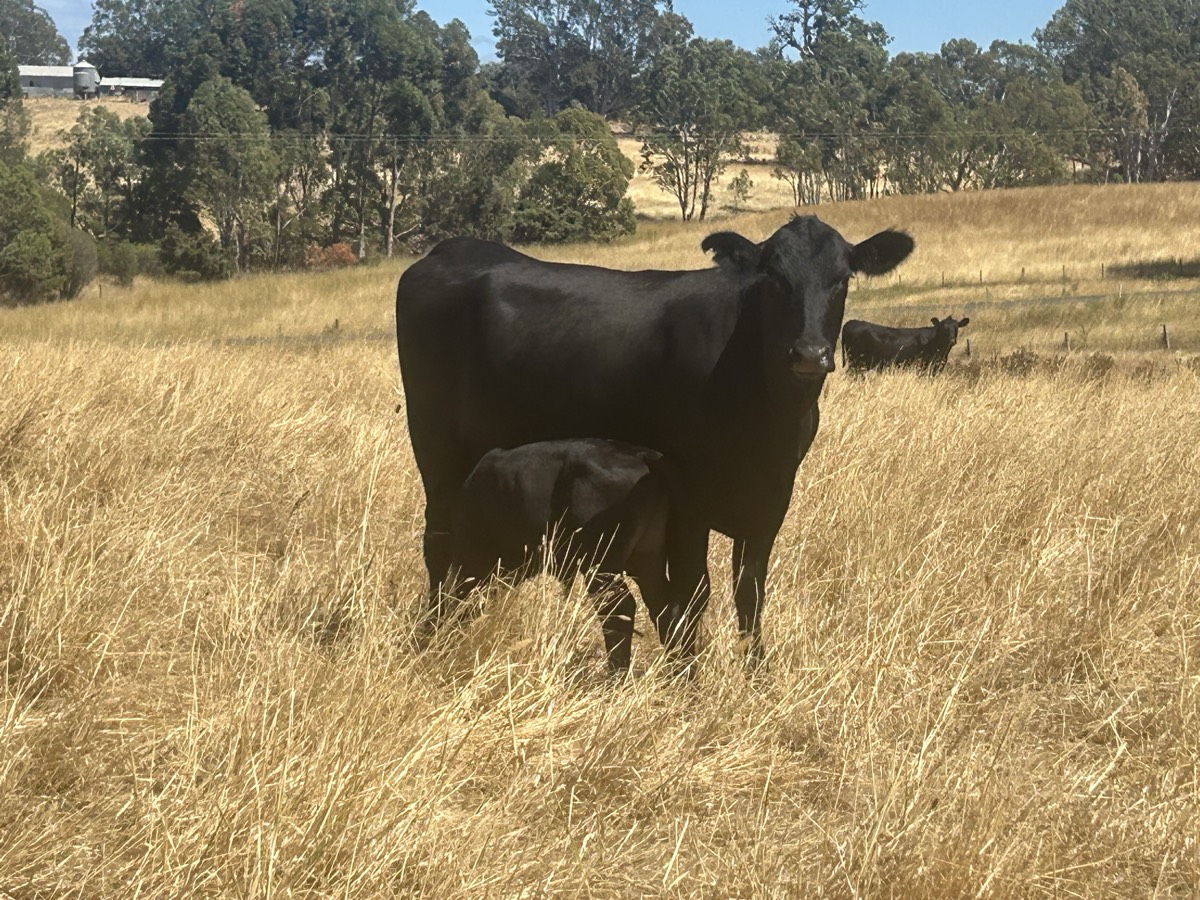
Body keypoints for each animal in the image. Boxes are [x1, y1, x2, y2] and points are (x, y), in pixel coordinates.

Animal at [447, 438, 674, 673]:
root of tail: (642, 455)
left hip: (601, 566)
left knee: (619, 611)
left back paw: (616, 674)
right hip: (647, 561)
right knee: (665, 610)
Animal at [841, 316, 970, 374]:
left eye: (956, 327)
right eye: (943, 328)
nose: (952, 340)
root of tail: (851, 322)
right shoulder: (923, 366)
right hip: (855, 362)